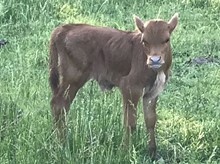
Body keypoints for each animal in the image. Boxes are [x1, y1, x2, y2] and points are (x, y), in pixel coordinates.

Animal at [48, 13, 177, 158]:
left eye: (166, 40)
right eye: (145, 41)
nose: (154, 60)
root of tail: (65, 28)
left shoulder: (152, 92)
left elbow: (150, 120)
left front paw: (152, 152)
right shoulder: (130, 88)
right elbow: (130, 122)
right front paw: (125, 152)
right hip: (73, 78)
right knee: (59, 104)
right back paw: (62, 144)